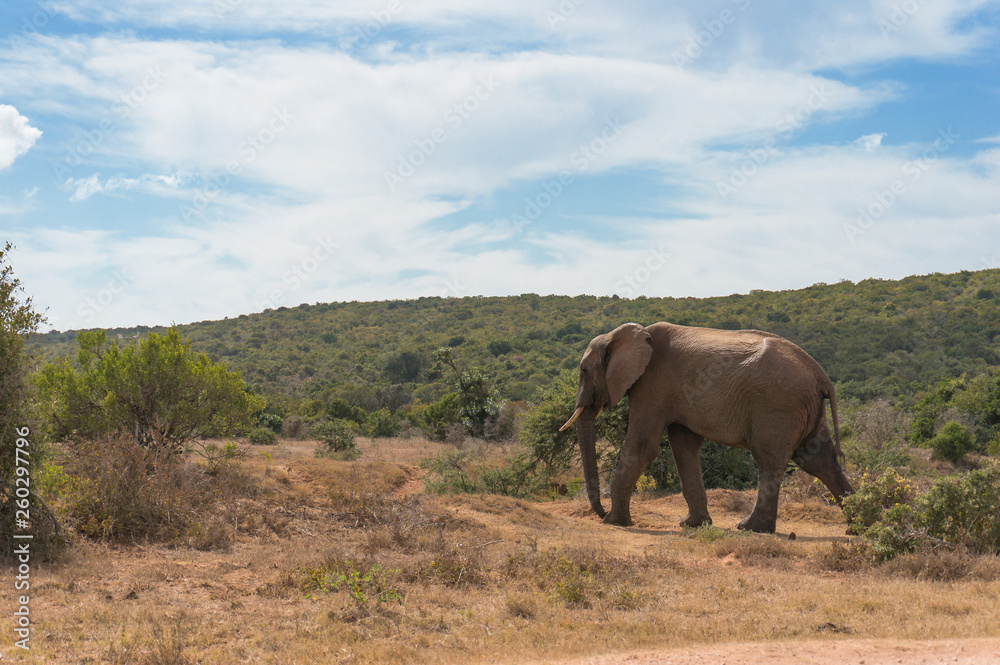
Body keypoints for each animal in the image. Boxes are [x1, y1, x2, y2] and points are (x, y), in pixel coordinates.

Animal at [564, 322, 852, 536]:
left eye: (583, 370)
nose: (600, 512)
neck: (625, 333)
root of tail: (820, 374)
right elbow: (684, 448)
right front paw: (693, 525)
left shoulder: (653, 384)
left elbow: (642, 447)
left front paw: (614, 522)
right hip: (804, 407)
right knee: (818, 459)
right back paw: (857, 526)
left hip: (778, 405)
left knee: (771, 460)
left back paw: (751, 528)